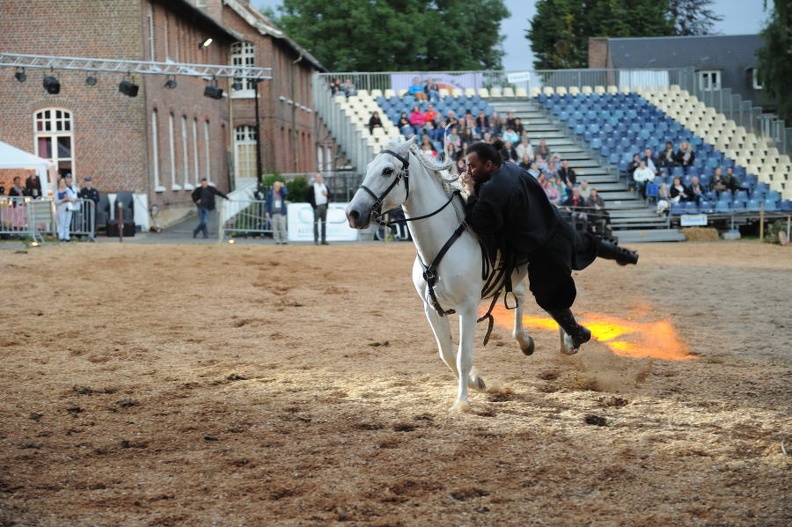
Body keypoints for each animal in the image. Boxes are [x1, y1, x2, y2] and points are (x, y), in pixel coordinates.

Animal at [344, 139, 532, 412]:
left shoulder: (468, 308)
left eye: (388, 171)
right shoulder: (432, 309)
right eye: (369, 168)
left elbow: (464, 357)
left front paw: (461, 401)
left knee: (529, 297)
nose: (353, 213)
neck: (440, 245)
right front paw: (475, 382)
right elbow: (447, 354)